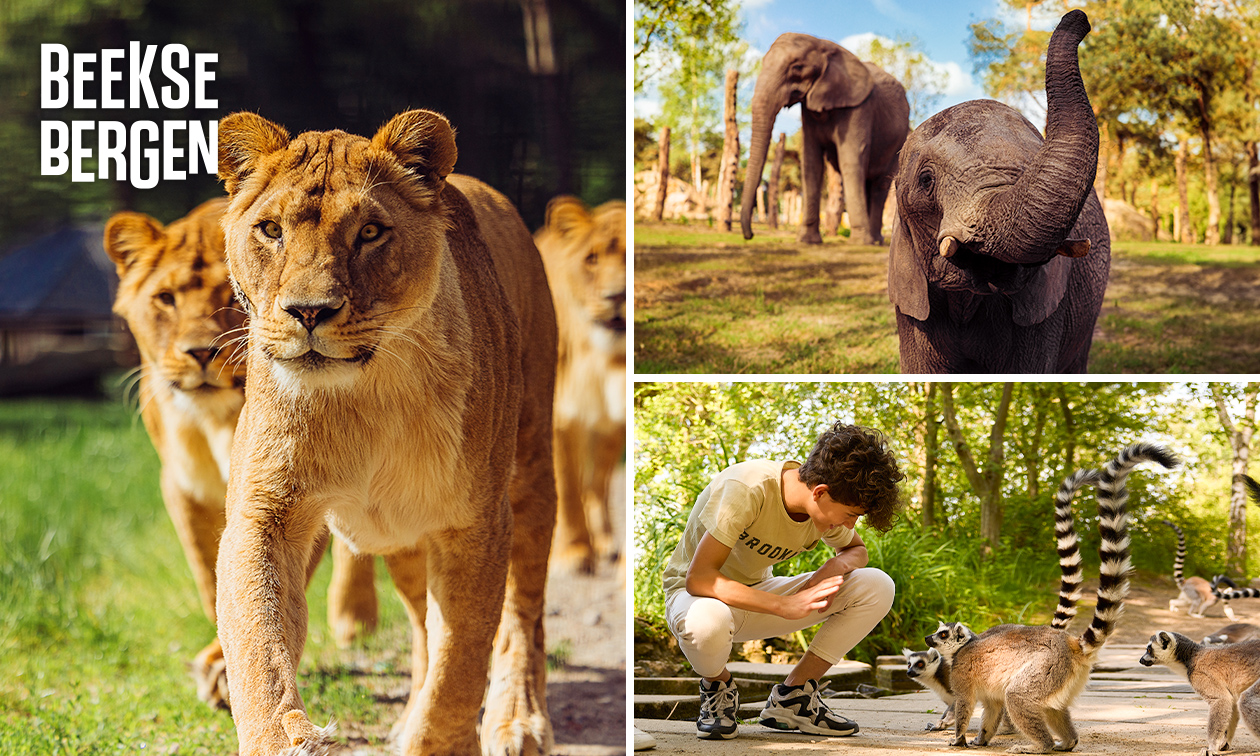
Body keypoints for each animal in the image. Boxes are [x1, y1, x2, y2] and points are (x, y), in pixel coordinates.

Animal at [102, 199, 378, 710]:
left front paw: (225, 673)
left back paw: (354, 618)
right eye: (166, 299)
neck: (214, 420)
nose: (199, 352)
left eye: (230, 294)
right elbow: (213, 576)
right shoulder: (183, 486)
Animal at [735, 33, 907, 245]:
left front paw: (859, 242)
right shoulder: (808, 111)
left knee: (879, 186)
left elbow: (850, 160)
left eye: (797, 67)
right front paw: (807, 241)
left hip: (898, 142)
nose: (749, 235)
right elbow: (811, 163)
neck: (823, 43)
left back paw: (874, 241)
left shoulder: (859, 107)